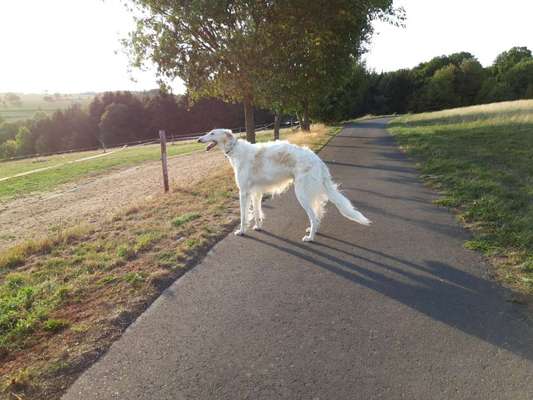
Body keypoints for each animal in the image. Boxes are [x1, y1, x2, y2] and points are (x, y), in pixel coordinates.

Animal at [196, 130, 370, 241]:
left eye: (212, 133)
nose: (198, 140)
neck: (236, 150)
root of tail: (317, 160)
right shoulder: (255, 192)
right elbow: (257, 212)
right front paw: (258, 227)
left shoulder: (243, 192)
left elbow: (244, 215)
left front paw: (241, 231)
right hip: (310, 192)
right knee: (317, 214)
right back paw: (312, 230)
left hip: (301, 193)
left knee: (314, 216)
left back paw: (310, 237)